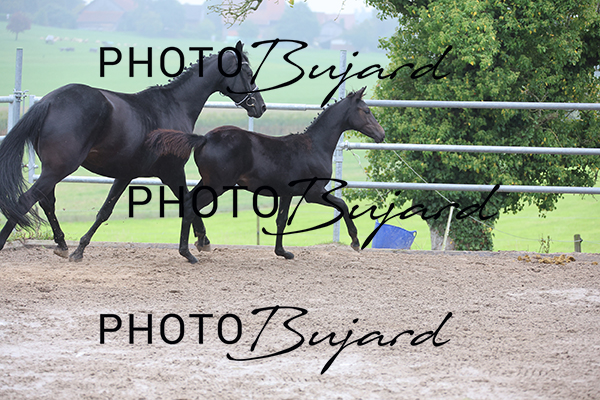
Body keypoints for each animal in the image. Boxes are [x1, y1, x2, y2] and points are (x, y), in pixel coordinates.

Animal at [0, 41, 266, 261]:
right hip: (59, 168)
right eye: (248, 73)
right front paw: (202, 241)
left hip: (53, 169)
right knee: (26, 201)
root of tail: (49, 102)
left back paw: (63, 245)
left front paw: (80, 249)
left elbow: (104, 211)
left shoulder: (125, 174)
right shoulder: (172, 171)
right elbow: (188, 201)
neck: (175, 105)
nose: (260, 107)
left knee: (47, 202)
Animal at [147, 87, 384, 263]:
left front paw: (283, 252)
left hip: (207, 182)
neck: (315, 146)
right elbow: (342, 205)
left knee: (188, 200)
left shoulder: (287, 193)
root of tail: (204, 138)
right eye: (366, 111)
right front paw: (355, 241)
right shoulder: (314, 193)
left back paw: (199, 244)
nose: (381, 135)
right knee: (189, 206)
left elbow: (281, 220)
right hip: (217, 185)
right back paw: (188, 253)